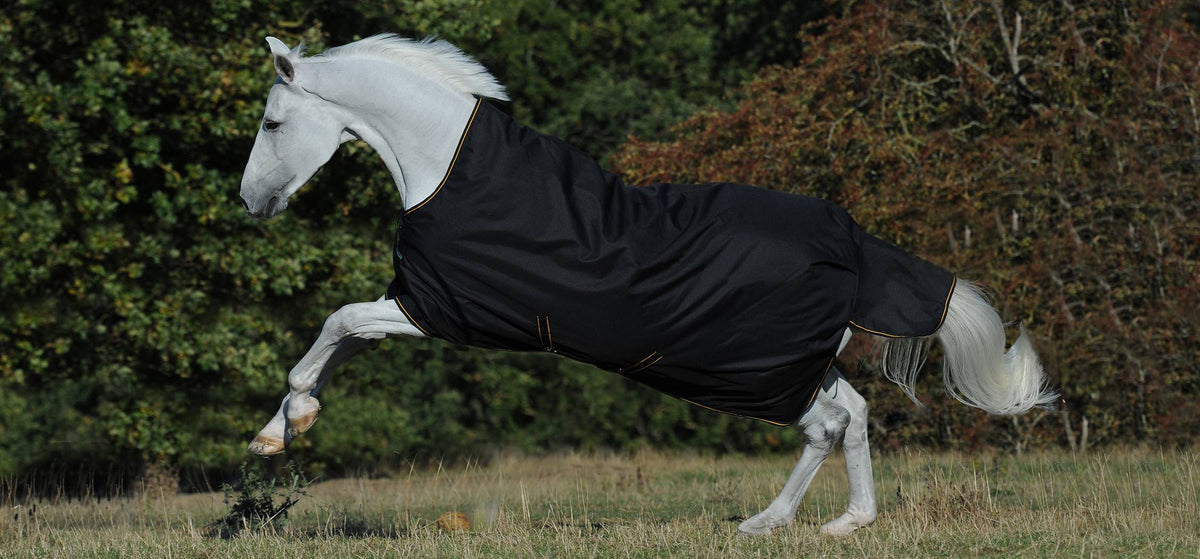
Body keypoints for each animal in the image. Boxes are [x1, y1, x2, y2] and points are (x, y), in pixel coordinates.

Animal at [238, 34, 1057, 536]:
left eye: (273, 123)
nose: (250, 202)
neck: (448, 167)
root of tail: (852, 240)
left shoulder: (441, 309)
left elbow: (339, 323)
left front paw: (277, 432)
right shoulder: (421, 304)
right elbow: (344, 336)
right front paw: (289, 426)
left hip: (754, 368)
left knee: (824, 424)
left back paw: (768, 522)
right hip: (797, 361)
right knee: (850, 416)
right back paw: (837, 521)